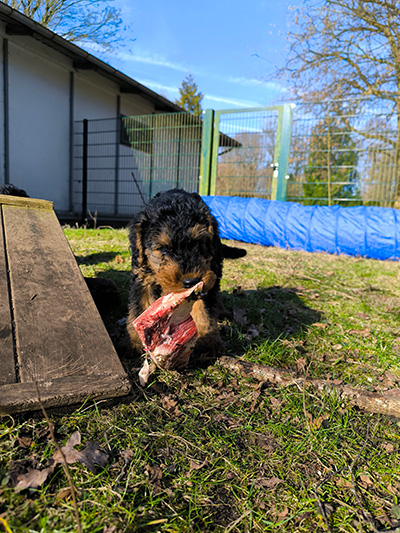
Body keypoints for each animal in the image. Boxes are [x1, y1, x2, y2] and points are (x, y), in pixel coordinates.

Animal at [126, 188, 245, 362]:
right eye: (164, 248)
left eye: (198, 243)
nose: (190, 281)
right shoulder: (143, 278)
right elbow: (139, 309)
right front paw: (134, 342)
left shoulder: (205, 281)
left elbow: (204, 311)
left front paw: (208, 342)